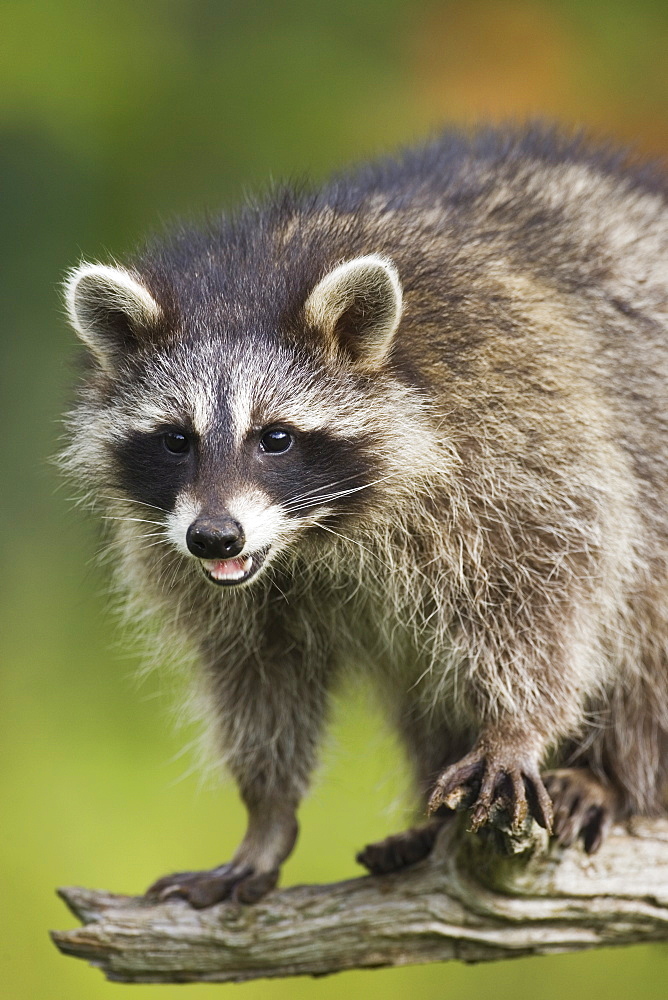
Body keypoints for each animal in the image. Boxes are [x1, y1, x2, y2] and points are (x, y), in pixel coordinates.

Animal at [62, 125, 668, 908]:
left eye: (276, 437)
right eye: (176, 440)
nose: (215, 537)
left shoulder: (518, 431)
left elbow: (553, 587)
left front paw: (515, 728)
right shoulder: (192, 559)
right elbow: (256, 675)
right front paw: (266, 811)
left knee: (641, 634)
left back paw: (617, 776)